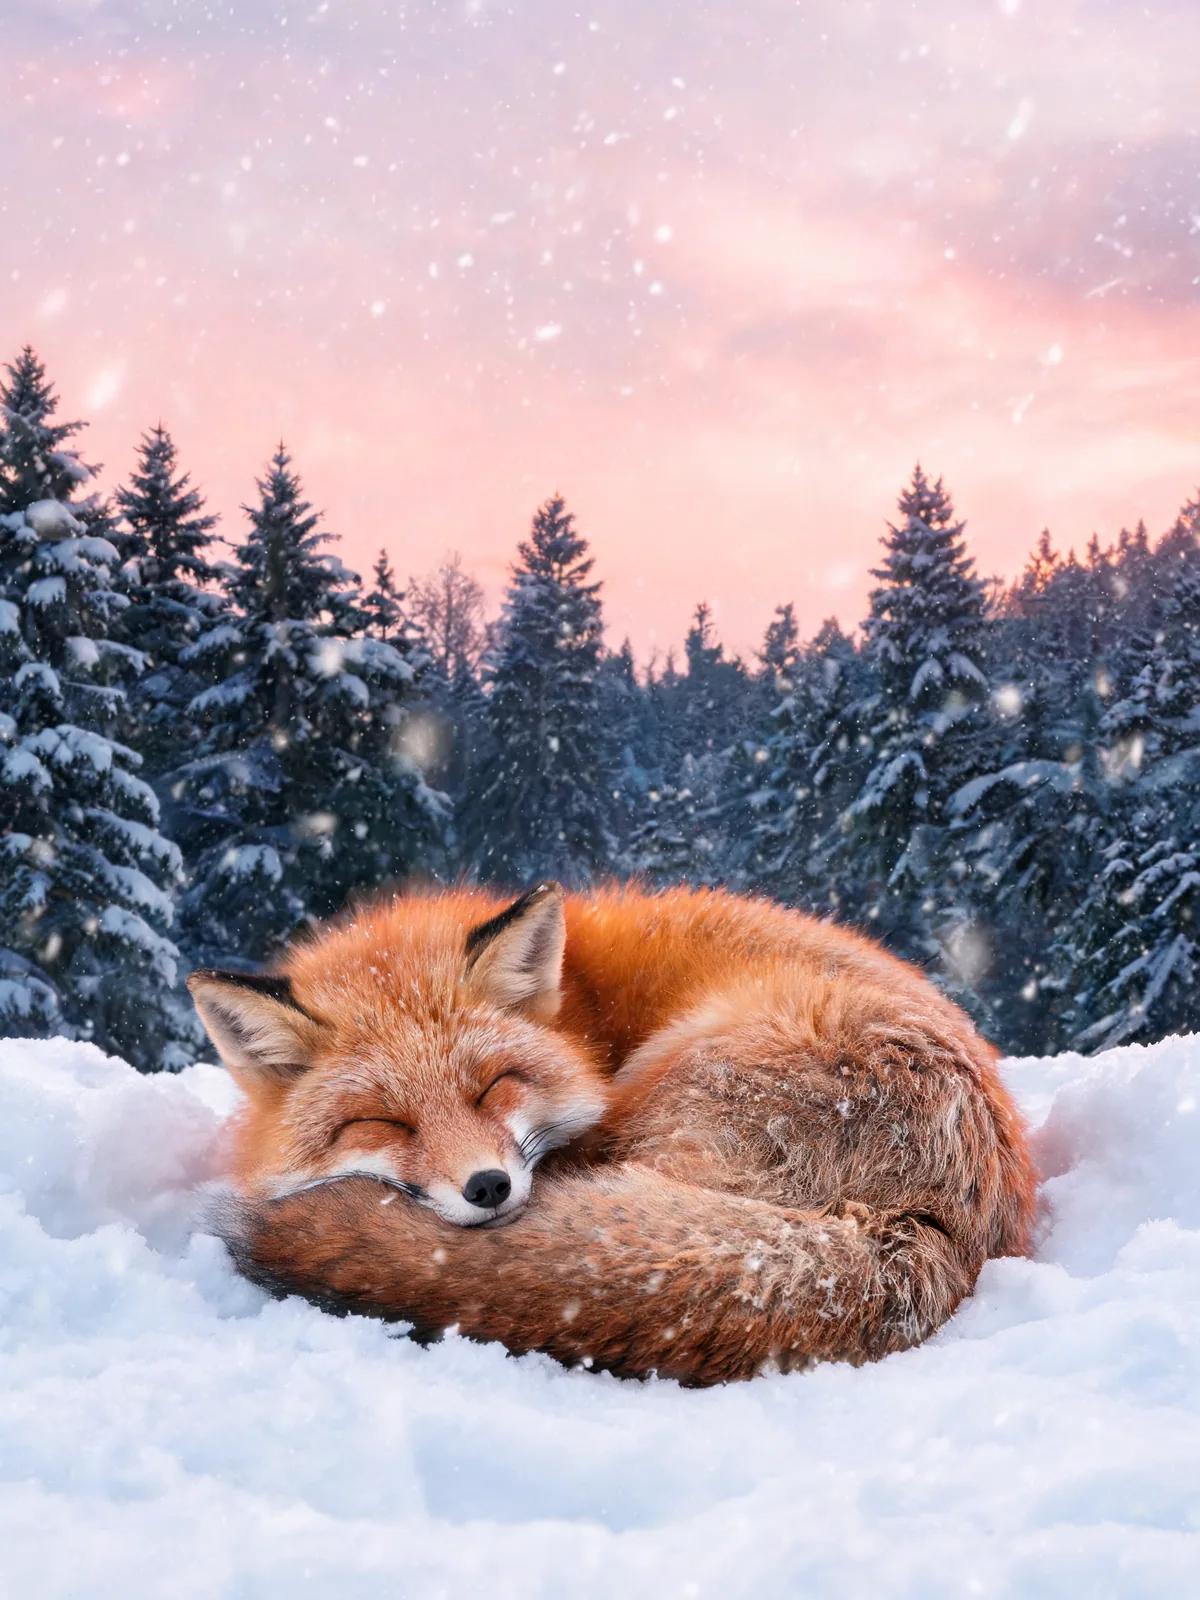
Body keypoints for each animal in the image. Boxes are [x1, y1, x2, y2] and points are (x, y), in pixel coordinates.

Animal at [191, 881, 1036, 1385]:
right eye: (382, 1120)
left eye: (492, 1084)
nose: (488, 1186)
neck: (580, 1011)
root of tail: (927, 1229)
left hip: (666, 1076)